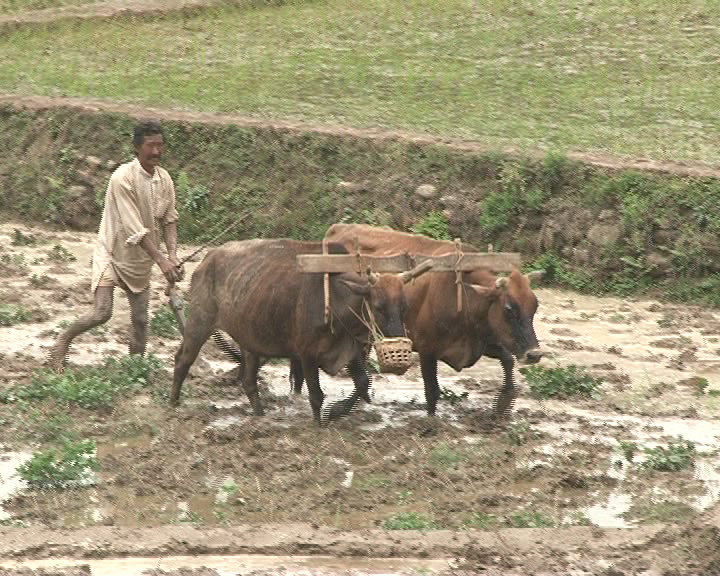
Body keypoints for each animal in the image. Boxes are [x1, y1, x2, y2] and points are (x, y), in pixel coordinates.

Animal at [170, 238, 431, 423]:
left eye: (405, 307)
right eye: (378, 306)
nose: (397, 343)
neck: (334, 296)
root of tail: (207, 259)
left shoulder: (351, 348)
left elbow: (363, 382)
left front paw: (337, 411)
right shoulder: (306, 354)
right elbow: (316, 395)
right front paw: (319, 424)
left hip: (249, 339)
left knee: (248, 380)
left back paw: (260, 414)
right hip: (199, 323)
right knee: (182, 359)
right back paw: (174, 403)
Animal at [322, 223, 545, 417]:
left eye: (535, 306)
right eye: (508, 309)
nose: (534, 354)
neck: (462, 295)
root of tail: (337, 228)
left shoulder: (483, 342)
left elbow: (507, 359)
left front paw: (503, 403)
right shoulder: (427, 349)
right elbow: (432, 392)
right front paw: (430, 422)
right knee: (360, 374)